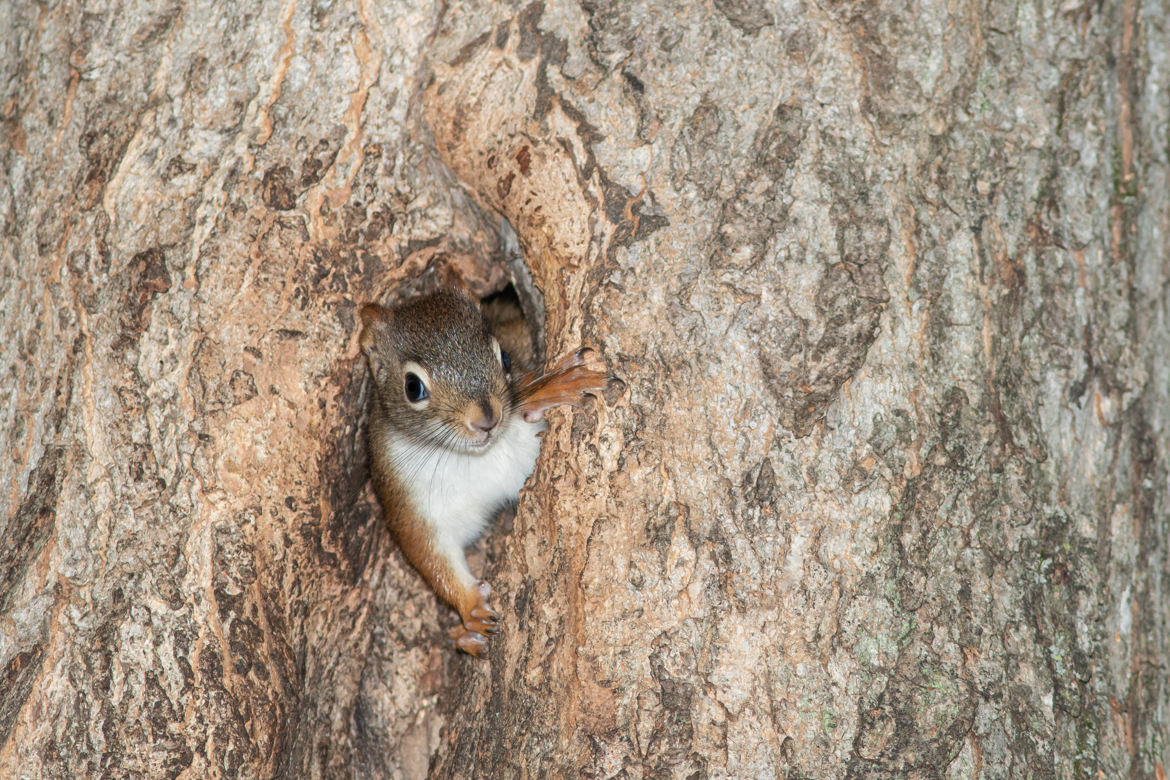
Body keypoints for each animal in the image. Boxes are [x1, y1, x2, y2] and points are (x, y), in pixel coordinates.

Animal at [360, 285, 608, 654]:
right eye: (413, 387)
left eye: (505, 358)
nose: (487, 419)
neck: (474, 458)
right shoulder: (409, 499)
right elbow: (429, 551)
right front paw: (470, 612)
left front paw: (549, 389)